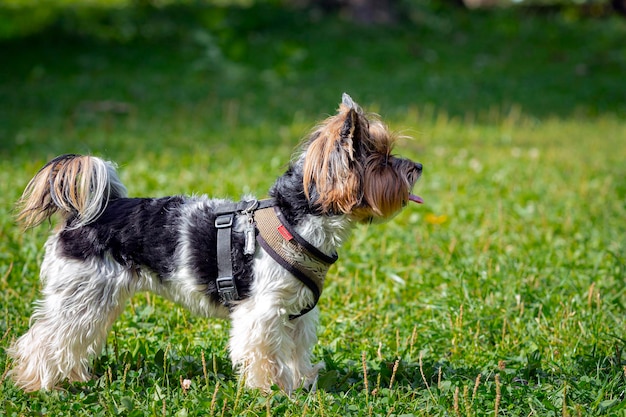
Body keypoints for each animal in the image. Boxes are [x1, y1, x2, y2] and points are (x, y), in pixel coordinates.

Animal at [7, 94, 422, 394]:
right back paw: (39, 385)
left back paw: (73, 378)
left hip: (94, 298)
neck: (296, 218)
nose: (417, 167)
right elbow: (264, 353)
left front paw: (299, 385)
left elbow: (295, 352)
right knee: (44, 338)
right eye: (382, 160)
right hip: (81, 294)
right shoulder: (262, 311)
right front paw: (269, 391)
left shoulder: (296, 313)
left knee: (74, 339)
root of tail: (84, 214)